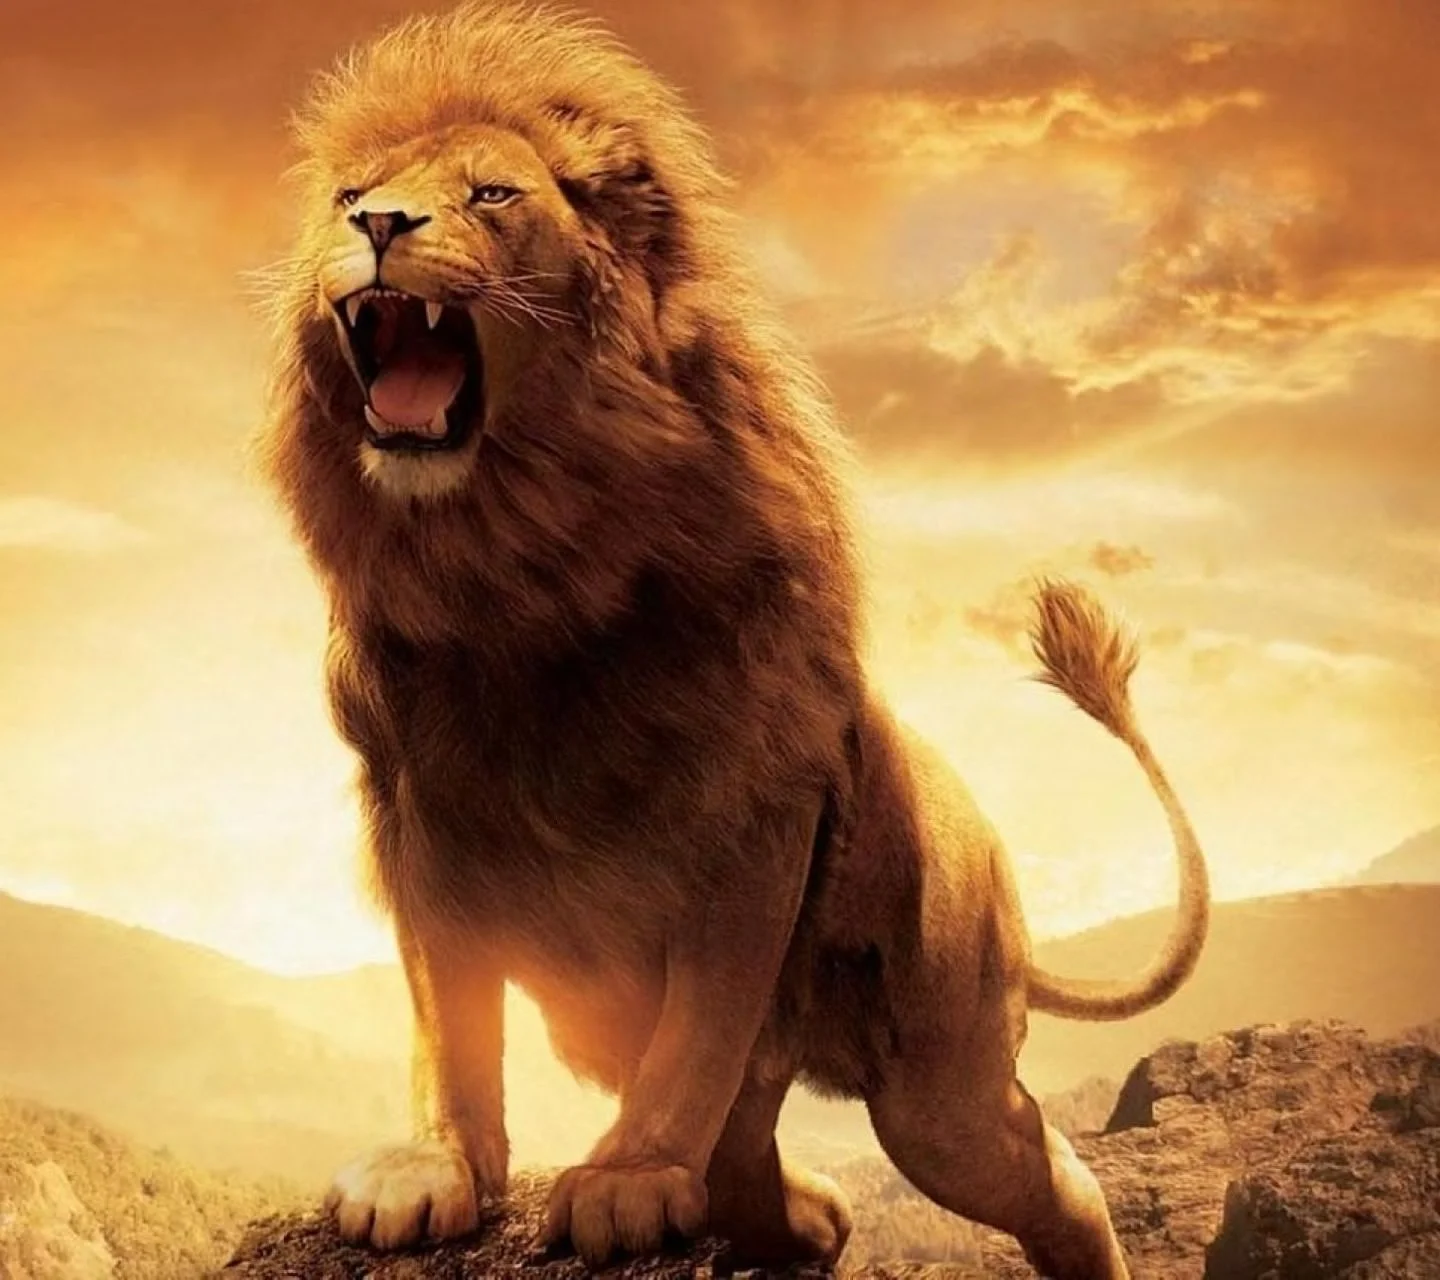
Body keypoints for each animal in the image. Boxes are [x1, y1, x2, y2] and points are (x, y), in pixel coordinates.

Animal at [257, 5, 1209, 1277]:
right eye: (351, 193)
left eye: (491, 193)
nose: (377, 227)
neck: (513, 565)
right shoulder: (418, 806)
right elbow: (447, 1013)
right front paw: (433, 1168)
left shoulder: (752, 807)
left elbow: (701, 1024)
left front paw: (626, 1178)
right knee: (758, 1151)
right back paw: (806, 1215)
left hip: (941, 1082)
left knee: (1042, 1171)